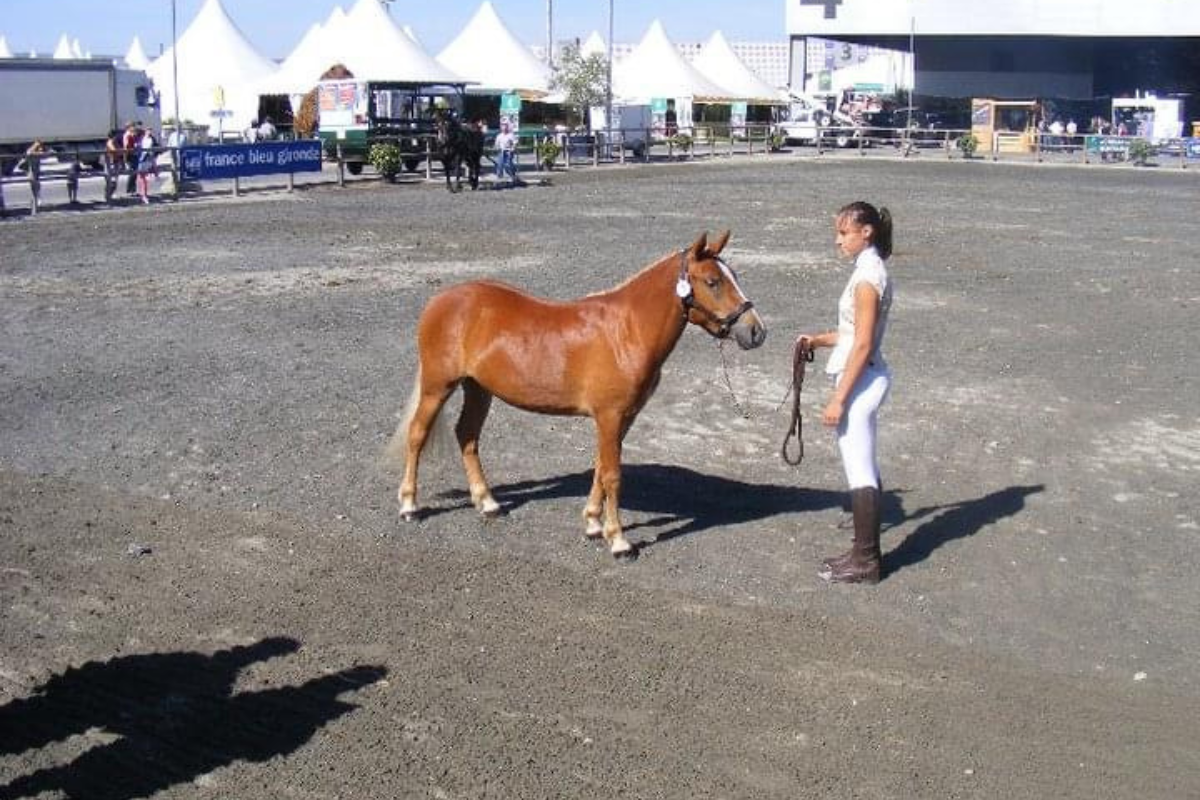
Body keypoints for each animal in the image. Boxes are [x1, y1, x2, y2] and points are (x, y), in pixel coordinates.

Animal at [391, 230, 767, 557]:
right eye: (713, 282)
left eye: (733, 275)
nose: (756, 332)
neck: (626, 332)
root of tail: (441, 299)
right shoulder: (609, 416)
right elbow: (613, 474)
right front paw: (619, 540)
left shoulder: (623, 418)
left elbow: (601, 466)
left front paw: (593, 524)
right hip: (438, 386)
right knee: (417, 434)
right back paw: (409, 505)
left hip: (479, 388)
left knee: (467, 436)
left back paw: (488, 503)